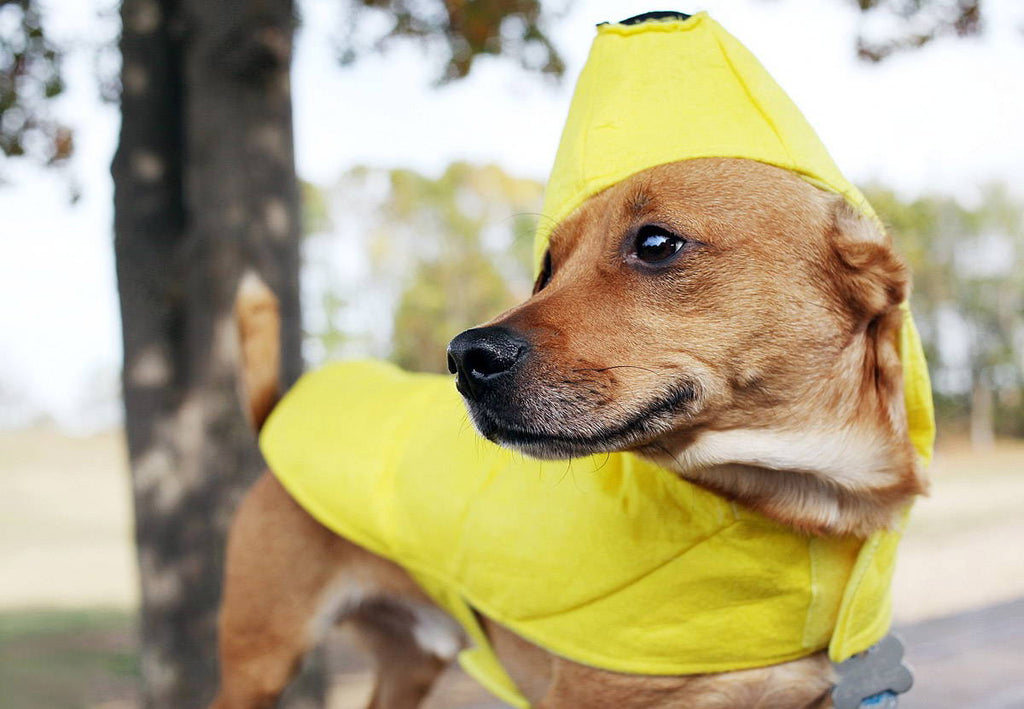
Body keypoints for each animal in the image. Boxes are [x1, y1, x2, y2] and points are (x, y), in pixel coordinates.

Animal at [209, 157, 929, 704]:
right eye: (548, 268)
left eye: (656, 243)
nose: (463, 358)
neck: (799, 504)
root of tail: (275, 414)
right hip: (260, 659)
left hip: (407, 662)